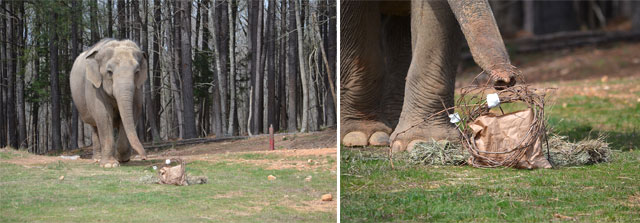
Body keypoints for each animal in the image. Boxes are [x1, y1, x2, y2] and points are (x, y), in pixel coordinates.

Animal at [70, 38, 148, 167]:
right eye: (109, 72)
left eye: (137, 72)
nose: (144, 157)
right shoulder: (95, 87)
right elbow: (104, 115)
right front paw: (109, 165)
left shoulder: (138, 89)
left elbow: (134, 111)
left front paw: (123, 159)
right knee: (94, 126)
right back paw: (97, 159)